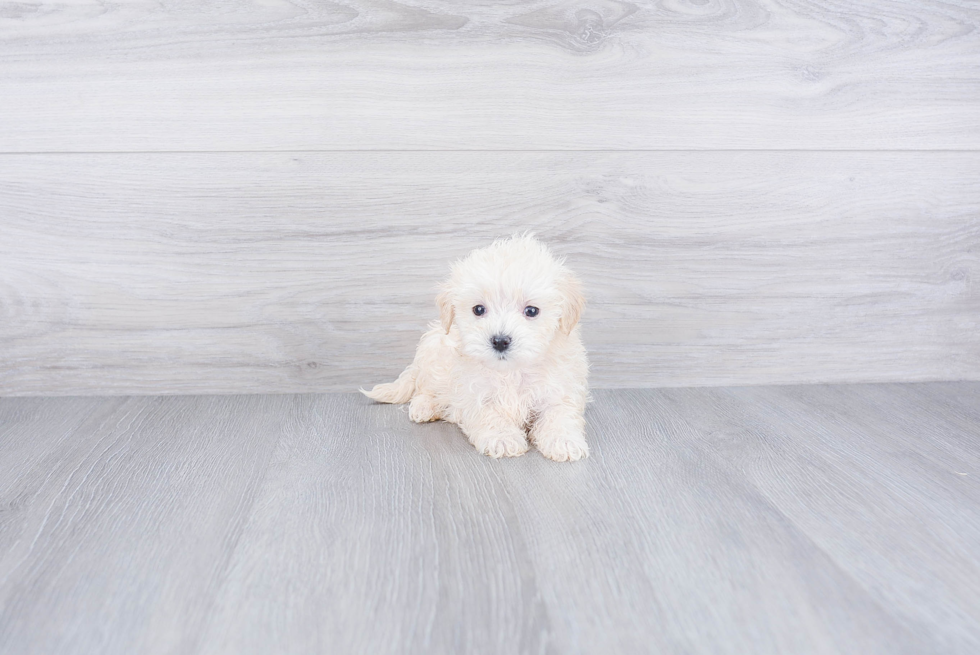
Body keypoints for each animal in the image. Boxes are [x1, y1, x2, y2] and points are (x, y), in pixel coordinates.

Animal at [362, 234, 584, 462]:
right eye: (478, 309)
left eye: (531, 311)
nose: (500, 341)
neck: (512, 372)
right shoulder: (475, 393)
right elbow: (490, 415)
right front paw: (502, 438)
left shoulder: (559, 390)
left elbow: (559, 415)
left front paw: (564, 441)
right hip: (432, 360)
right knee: (424, 389)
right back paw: (424, 407)